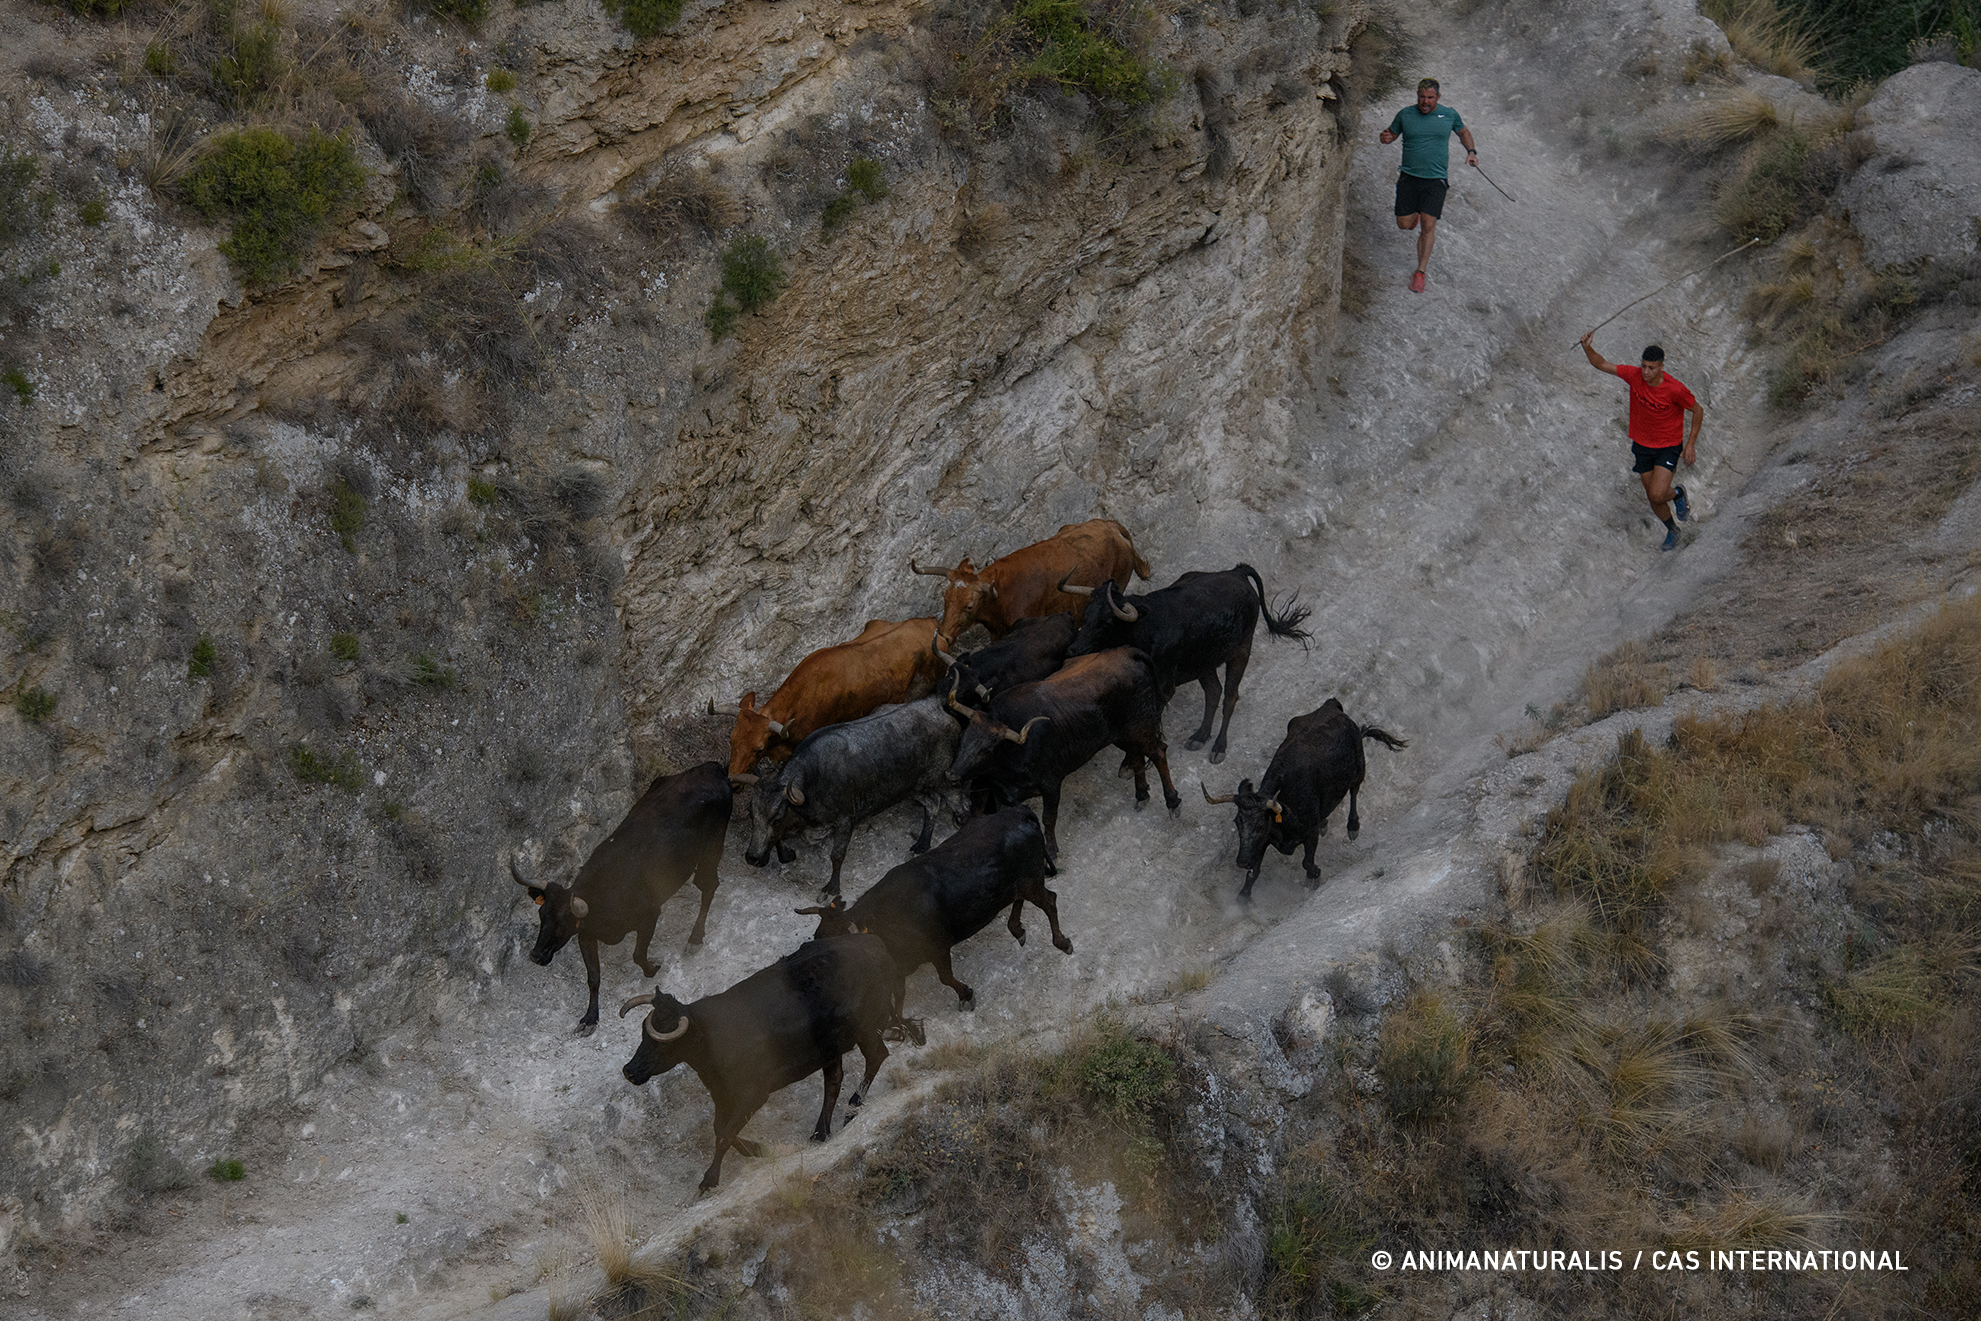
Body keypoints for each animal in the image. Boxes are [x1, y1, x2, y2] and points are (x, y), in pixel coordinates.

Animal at [515, 764, 732, 1029]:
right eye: (541, 915)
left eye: (563, 924)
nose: (535, 956)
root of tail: (710, 768)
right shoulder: (586, 935)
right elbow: (593, 977)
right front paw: (590, 1018)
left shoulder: (650, 914)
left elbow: (638, 954)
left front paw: (652, 969)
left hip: (712, 848)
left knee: (709, 885)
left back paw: (695, 938)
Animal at [740, 693, 962, 899]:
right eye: (751, 815)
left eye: (776, 818)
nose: (752, 858)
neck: (814, 780)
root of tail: (934, 703)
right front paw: (786, 853)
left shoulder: (846, 820)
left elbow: (837, 855)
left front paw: (832, 888)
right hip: (913, 788)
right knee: (932, 803)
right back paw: (922, 843)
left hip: (941, 779)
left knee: (956, 801)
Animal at [792, 808, 1069, 1014]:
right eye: (817, 937)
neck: (883, 921)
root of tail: (1020, 812)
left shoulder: (938, 948)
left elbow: (945, 977)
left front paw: (966, 995)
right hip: (1021, 885)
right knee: (1021, 901)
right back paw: (1017, 930)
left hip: (1032, 881)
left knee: (1050, 901)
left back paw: (1062, 941)